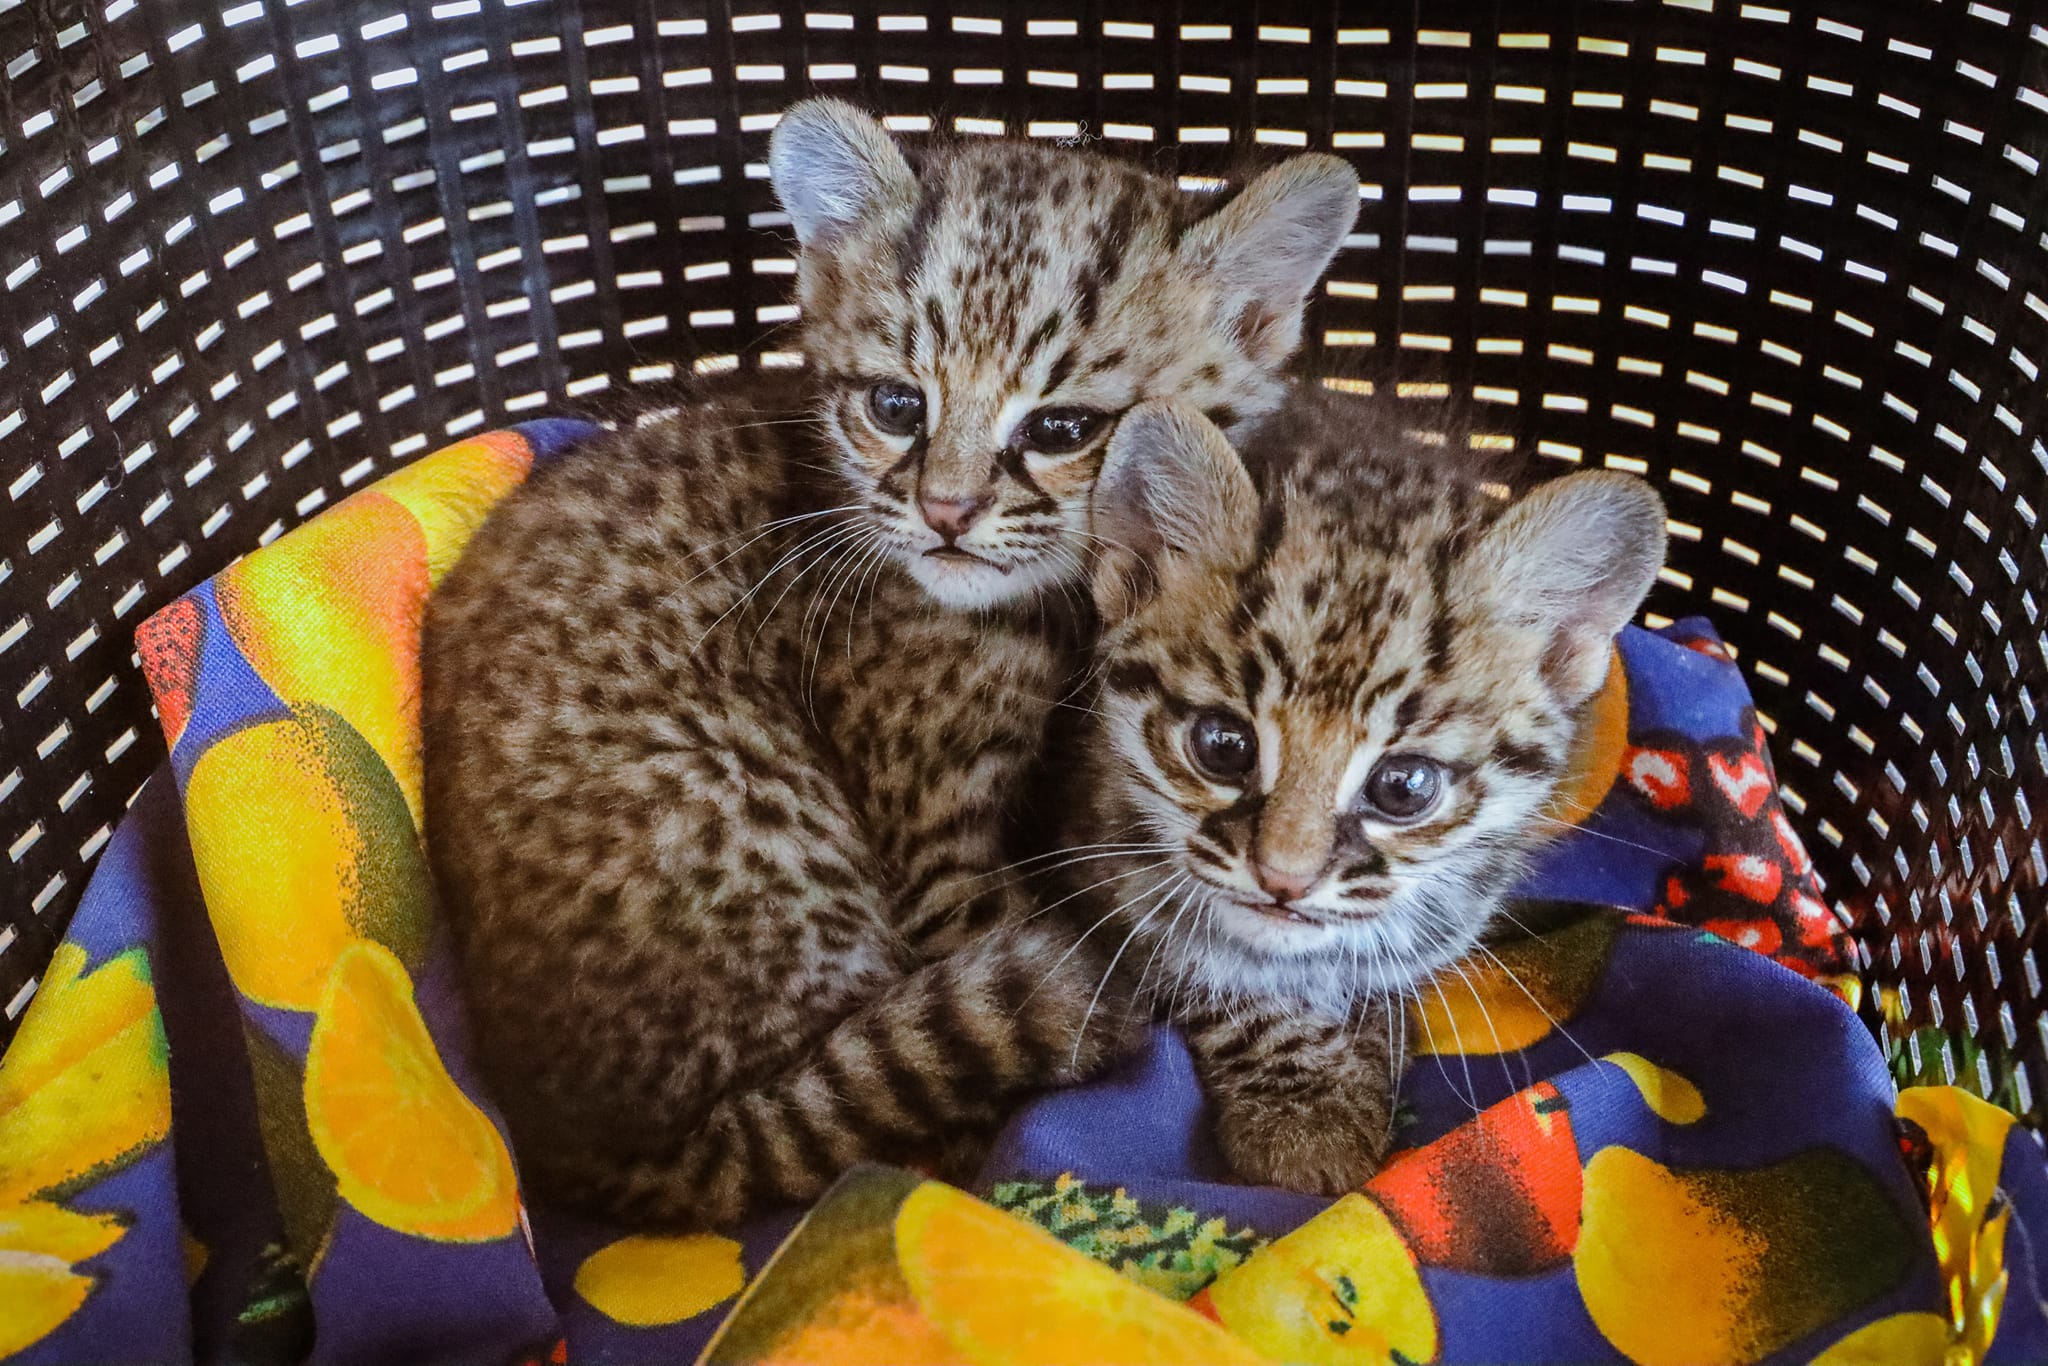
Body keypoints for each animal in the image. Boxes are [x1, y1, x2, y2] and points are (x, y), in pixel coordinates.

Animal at [1064, 397, 1671, 1196]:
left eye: (1404, 787)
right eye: (1222, 745)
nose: (1284, 880)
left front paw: (1369, 1039)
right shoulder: (1106, 863)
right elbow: (1212, 974)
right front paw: (1308, 1110)